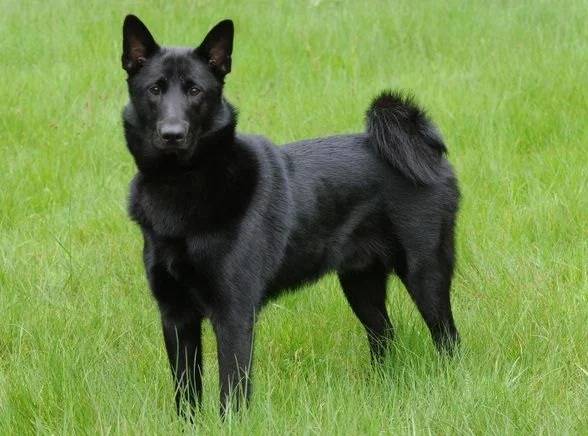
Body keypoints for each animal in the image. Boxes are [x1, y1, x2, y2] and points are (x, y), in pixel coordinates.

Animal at [121, 15, 460, 417]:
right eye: (155, 89)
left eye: (195, 90)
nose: (172, 134)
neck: (181, 185)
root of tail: (427, 151)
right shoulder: (175, 315)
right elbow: (186, 395)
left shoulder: (234, 314)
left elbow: (232, 392)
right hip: (360, 282)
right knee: (384, 337)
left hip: (426, 274)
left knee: (448, 340)